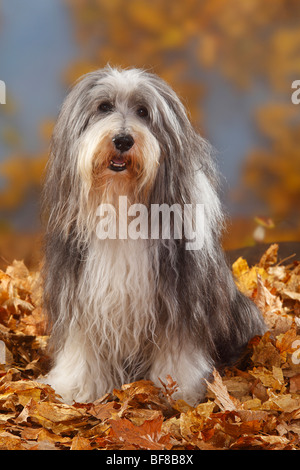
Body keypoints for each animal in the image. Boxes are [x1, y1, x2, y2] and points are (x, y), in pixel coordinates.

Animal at [41, 66, 264, 404]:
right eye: (104, 106)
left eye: (143, 112)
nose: (122, 140)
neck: (121, 204)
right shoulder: (78, 293)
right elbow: (81, 344)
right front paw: (76, 389)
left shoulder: (180, 299)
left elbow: (179, 349)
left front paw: (178, 390)